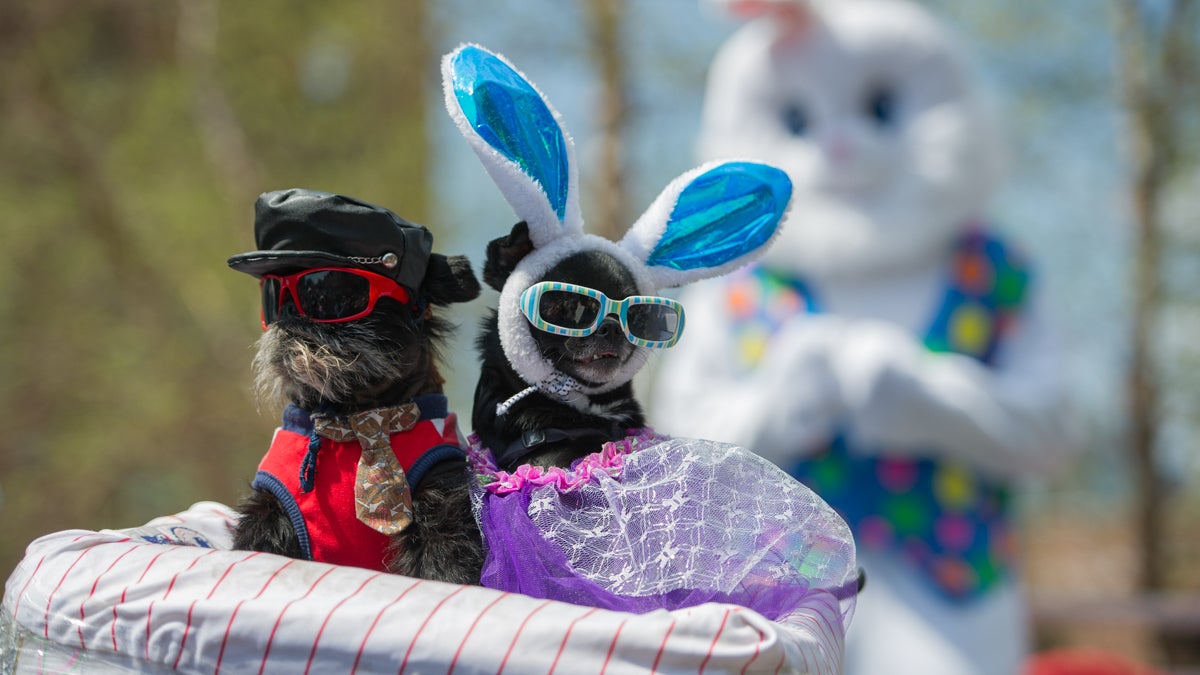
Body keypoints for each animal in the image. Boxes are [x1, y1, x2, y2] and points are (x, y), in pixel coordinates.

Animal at [229, 186, 482, 581]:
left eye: (331, 291)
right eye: (272, 293)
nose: (286, 310)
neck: (353, 423)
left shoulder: (441, 508)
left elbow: (443, 568)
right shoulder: (267, 514)